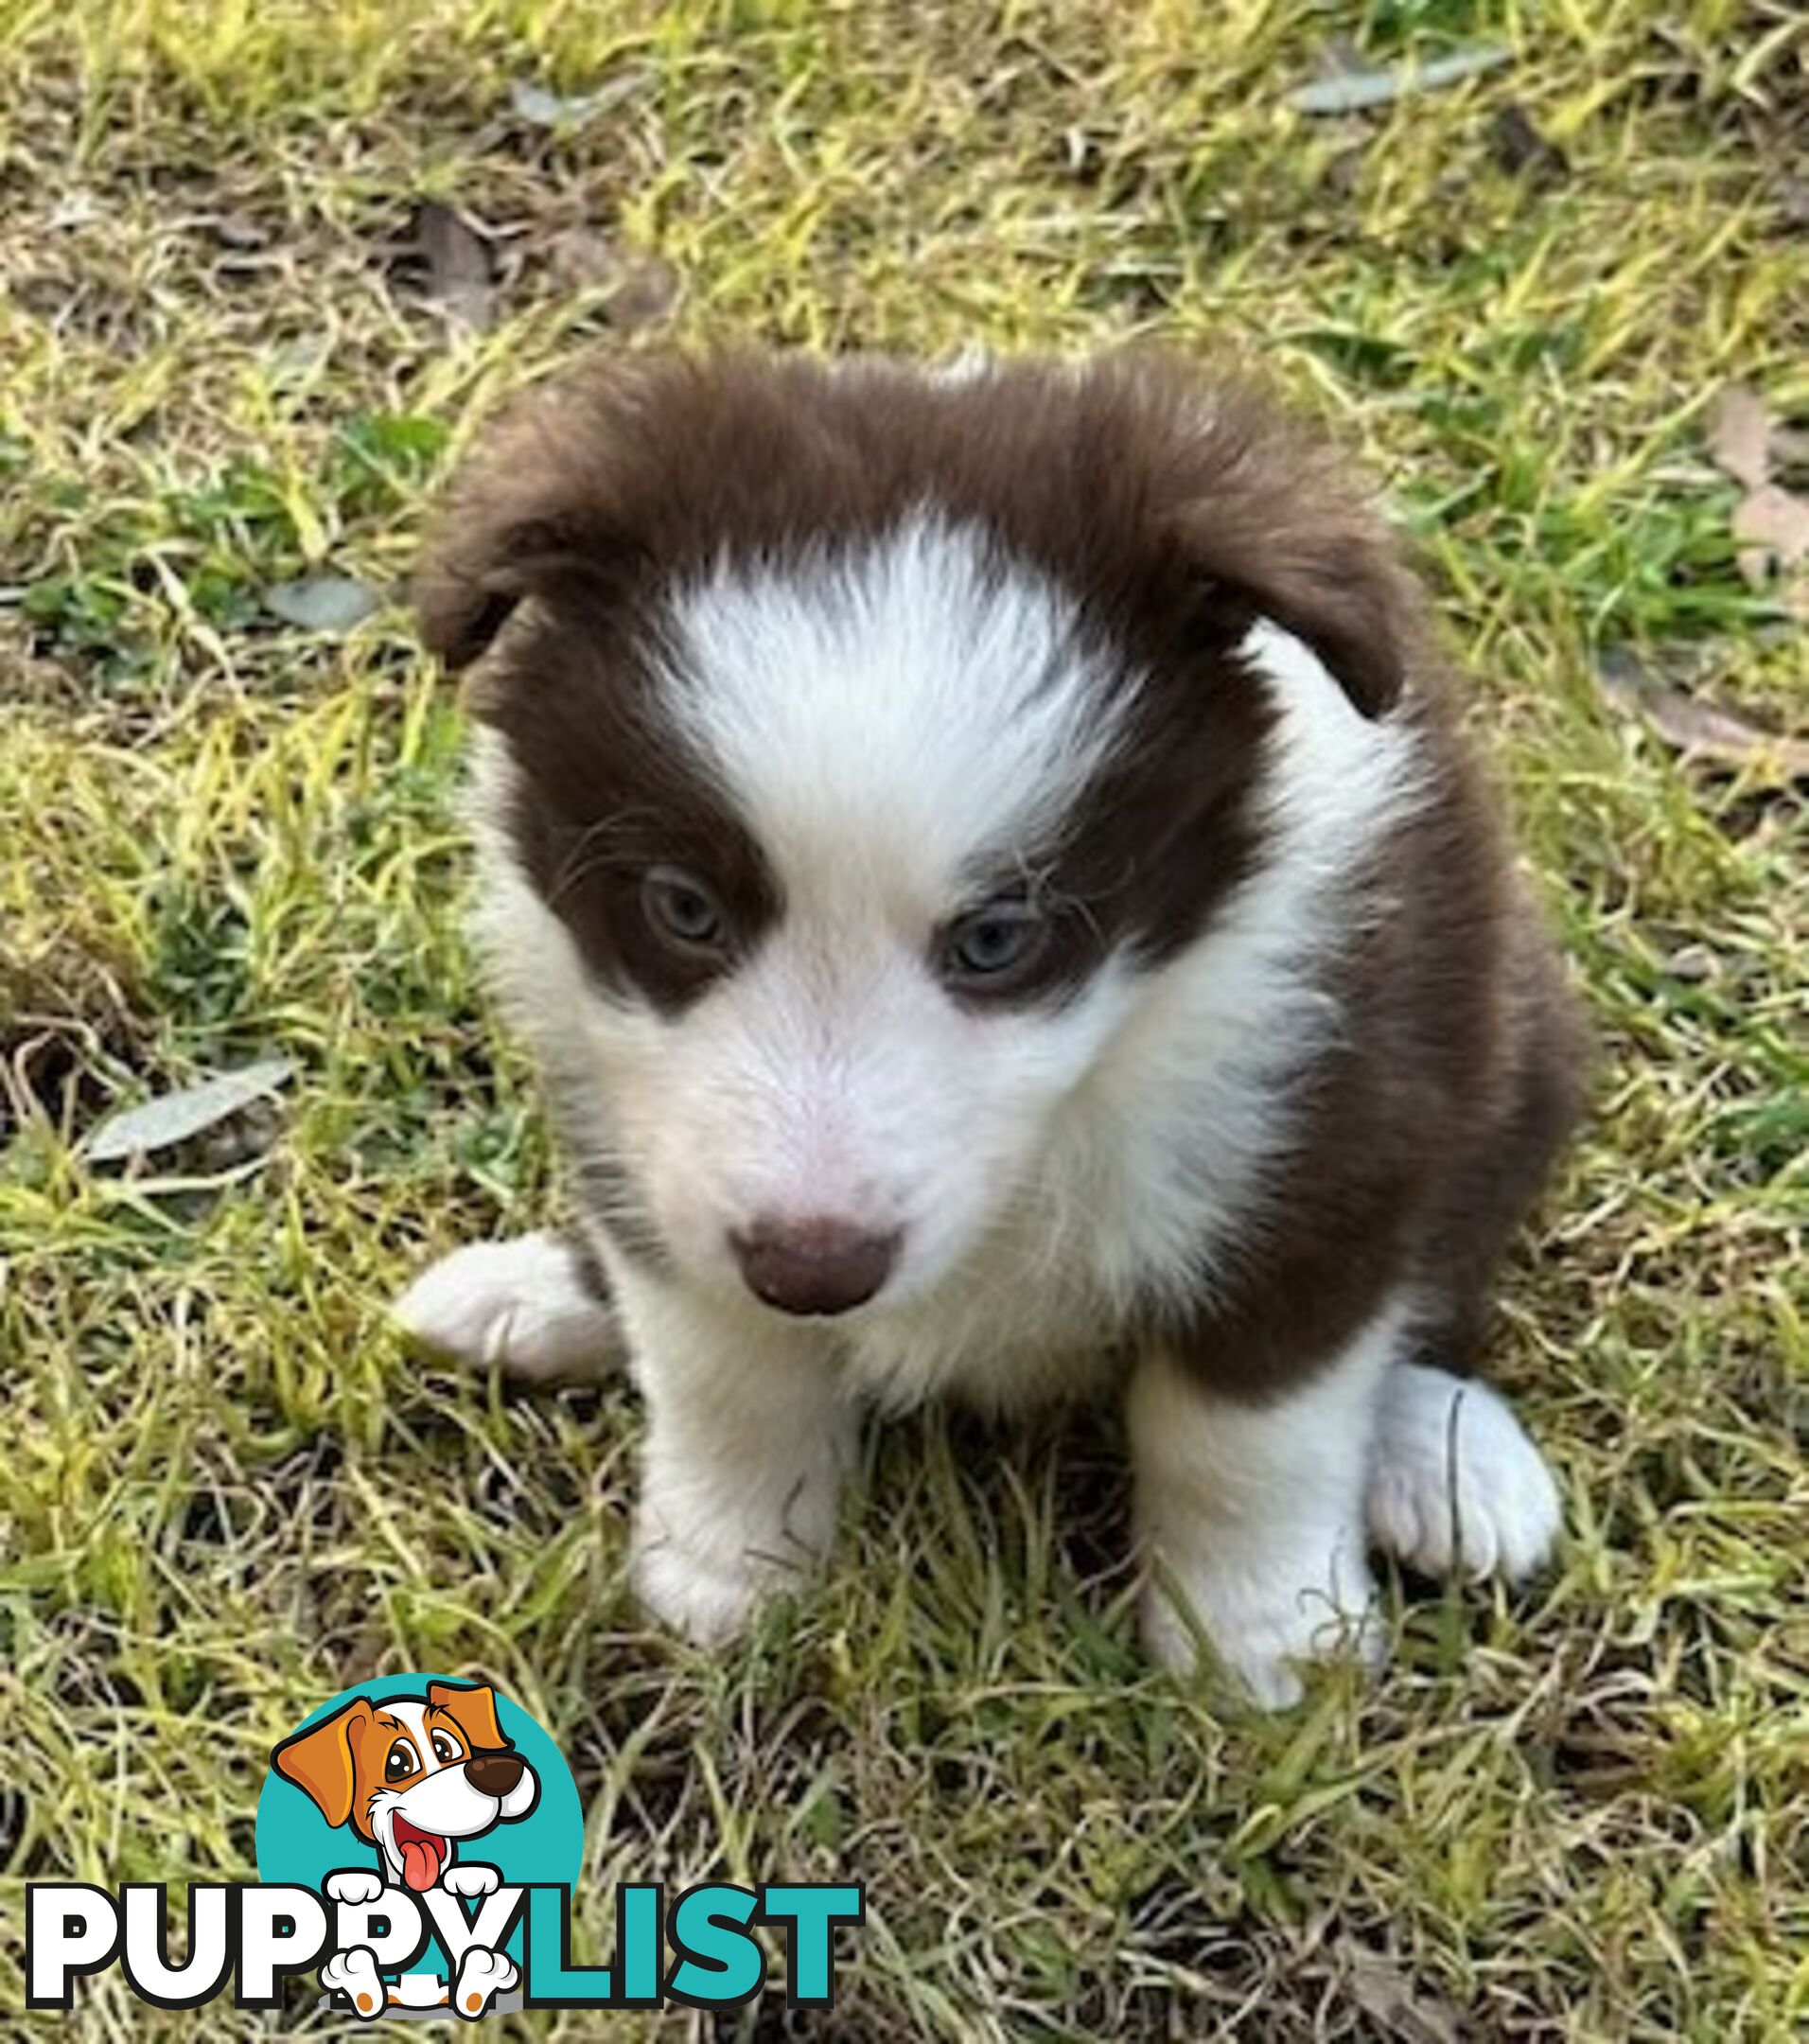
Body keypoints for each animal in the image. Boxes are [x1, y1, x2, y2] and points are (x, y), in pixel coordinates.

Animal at [394, 343, 1577, 1700]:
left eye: (1000, 939)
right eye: (684, 909)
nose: (815, 1270)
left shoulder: (1330, 1131)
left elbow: (1245, 1429)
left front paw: (1257, 1642)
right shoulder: (638, 1120)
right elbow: (723, 1364)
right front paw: (733, 1571)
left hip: (1513, 1043)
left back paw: (1444, 1455)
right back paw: (534, 1298)